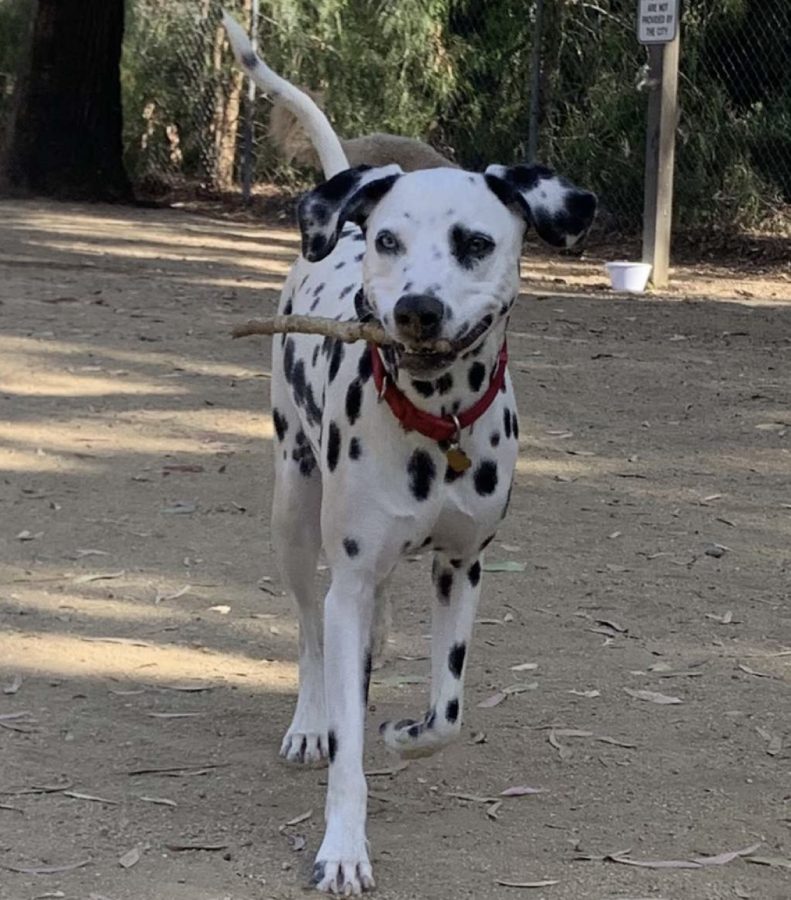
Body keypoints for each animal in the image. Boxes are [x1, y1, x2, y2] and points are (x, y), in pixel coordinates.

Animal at [226, 12, 596, 892]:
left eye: (474, 242)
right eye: (390, 240)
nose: (416, 310)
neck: (437, 423)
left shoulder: (461, 566)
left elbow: (448, 713)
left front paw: (404, 733)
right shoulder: (350, 575)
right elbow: (347, 750)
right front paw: (342, 847)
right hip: (293, 508)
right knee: (308, 625)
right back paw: (310, 718)